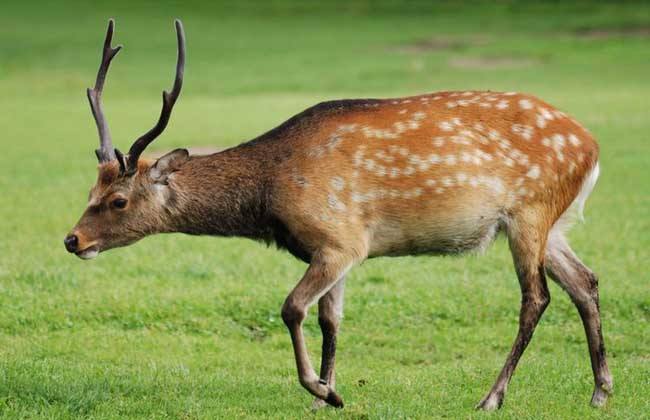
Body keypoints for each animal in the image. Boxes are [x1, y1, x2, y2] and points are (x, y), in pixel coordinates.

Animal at [66, 19, 612, 410]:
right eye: (90, 187)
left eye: (118, 201)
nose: (72, 240)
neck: (270, 195)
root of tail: (591, 147)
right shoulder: (337, 250)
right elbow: (331, 318)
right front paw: (327, 394)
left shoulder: (340, 237)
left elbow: (292, 308)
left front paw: (321, 390)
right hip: (551, 223)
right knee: (585, 282)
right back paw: (600, 391)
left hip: (530, 211)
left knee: (536, 297)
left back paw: (492, 397)